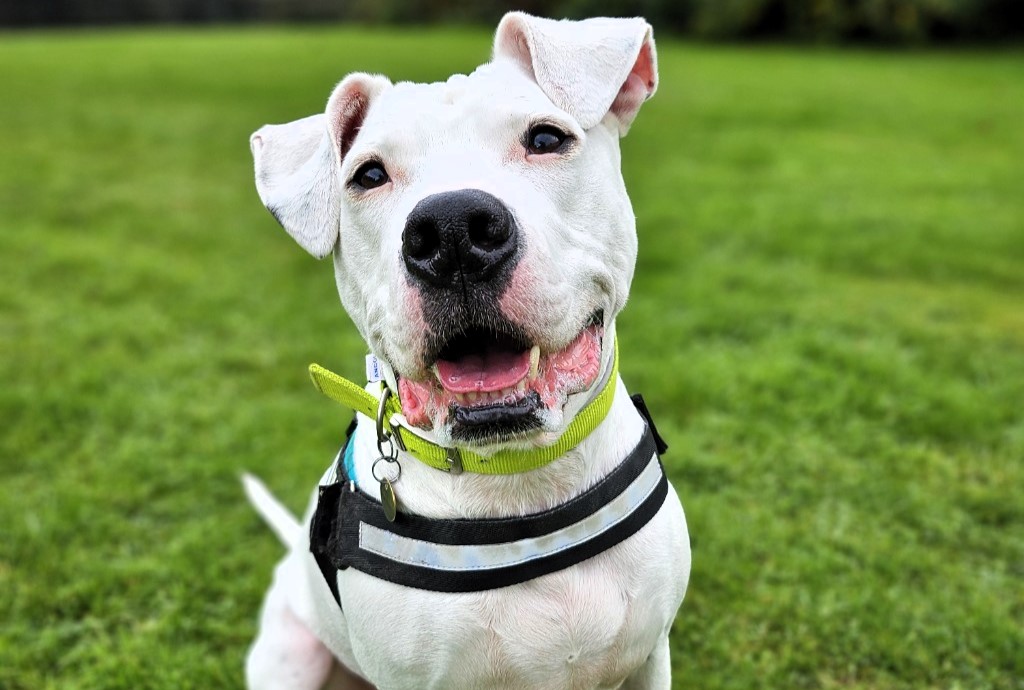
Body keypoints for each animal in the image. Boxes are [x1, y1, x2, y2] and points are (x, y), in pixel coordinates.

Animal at [242, 12, 688, 687]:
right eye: (368, 175)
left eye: (547, 138)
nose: (451, 231)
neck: (518, 474)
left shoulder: (648, 656)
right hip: (290, 654)